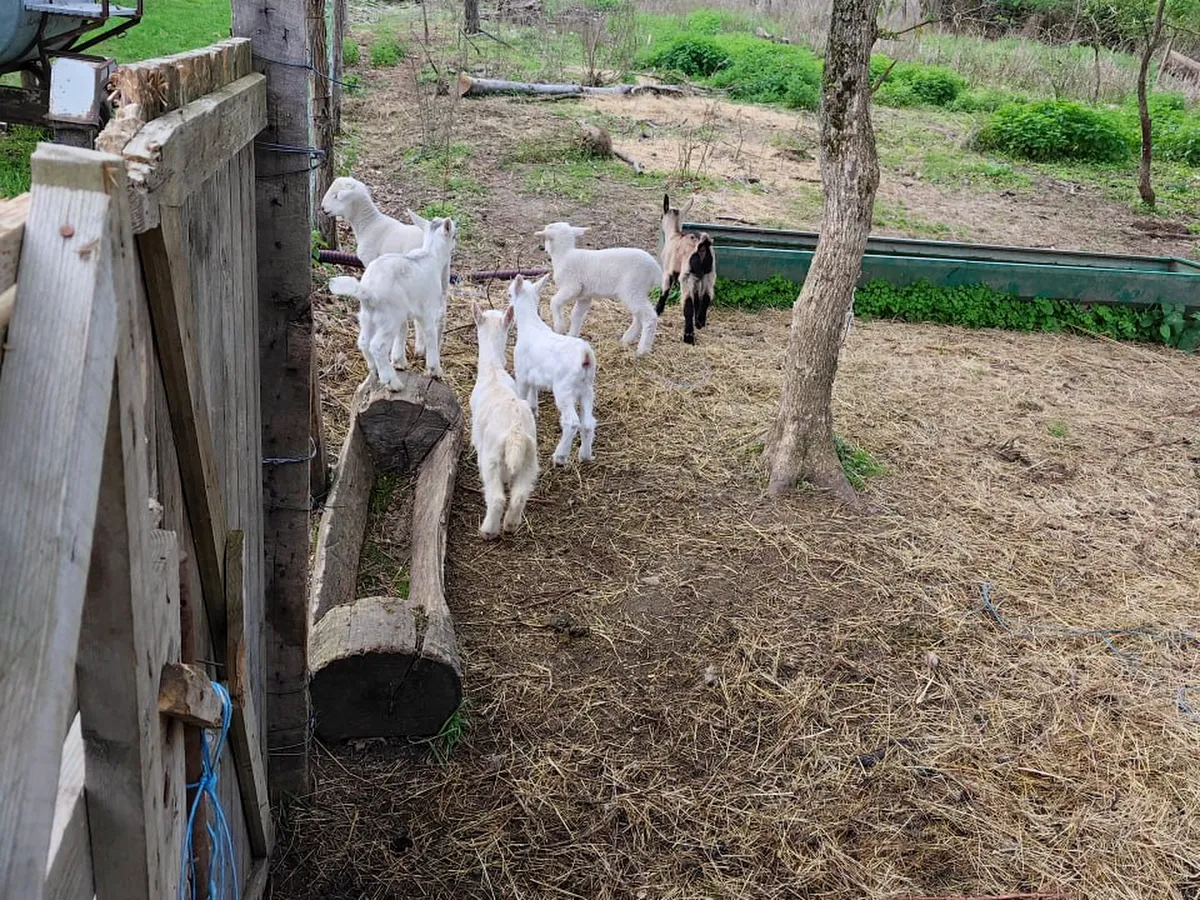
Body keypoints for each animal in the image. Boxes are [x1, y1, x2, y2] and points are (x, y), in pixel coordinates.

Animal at [470, 302, 540, 538]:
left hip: (491, 456)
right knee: (519, 495)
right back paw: (510, 525)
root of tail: (515, 432)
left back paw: (488, 531)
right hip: (530, 459)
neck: (493, 370)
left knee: (497, 498)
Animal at [508, 273, 597, 465]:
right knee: (588, 422)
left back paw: (560, 457)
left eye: (509, 294)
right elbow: (533, 393)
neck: (530, 326)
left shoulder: (521, 373)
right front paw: (533, 410)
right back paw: (585, 456)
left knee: (572, 422)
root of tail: (585, 356)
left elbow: (521, 395)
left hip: (564, 388)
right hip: (587, 389)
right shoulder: (534, 375)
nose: (509, 308)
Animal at [535, 222, 662, 357]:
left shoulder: (572, 286)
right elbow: (576, 315)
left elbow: (554, 301)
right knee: (639, 316)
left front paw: (559, 327)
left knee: (649, 316)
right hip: (638, 292)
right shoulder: (585, 296)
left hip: (633, 288)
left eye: (546, 237)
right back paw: (627, 339)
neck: (564, 255)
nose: (544, 249)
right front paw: (572, 335)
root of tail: (656, 269)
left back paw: (643, 350)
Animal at [657, 194, 716, 345]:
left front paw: (657, 310)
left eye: (661, 215)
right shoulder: (697, 278)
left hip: (686, 277)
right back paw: (700, 322)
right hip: (708, 275)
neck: (674, 235)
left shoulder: (668, 271)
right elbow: (697, 299)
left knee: (688, 304)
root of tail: (702, 246)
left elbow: (665, 291)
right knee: (706, 296)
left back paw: (688, 336)